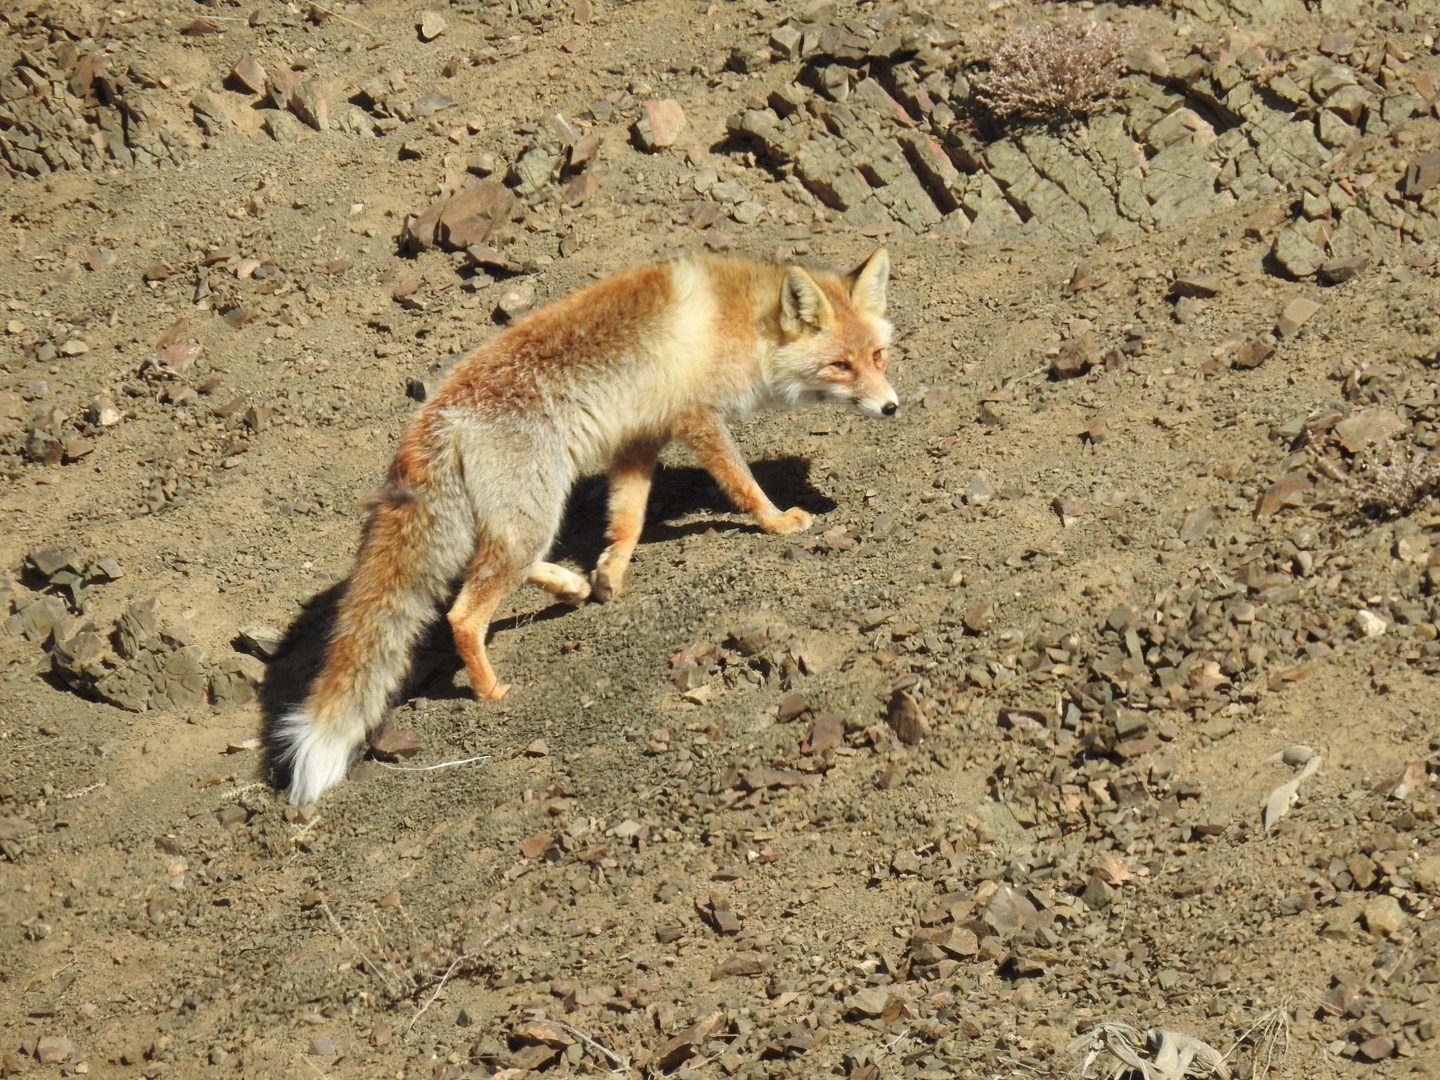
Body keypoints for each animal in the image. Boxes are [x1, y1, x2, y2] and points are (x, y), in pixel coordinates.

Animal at [275, 248, 897, 804]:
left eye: (879, 356)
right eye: (840, 365)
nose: (892, 407)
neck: (744, 323)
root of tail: (436, 416)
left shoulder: (642, 435)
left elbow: (628, 519)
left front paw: (609, 575)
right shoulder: (697, 418)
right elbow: (742, 484)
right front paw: (778, 521)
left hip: (520, 518)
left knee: (498, 569)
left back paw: (572, 587)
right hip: (533, 513)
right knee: (463, 612)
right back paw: (490, 689)